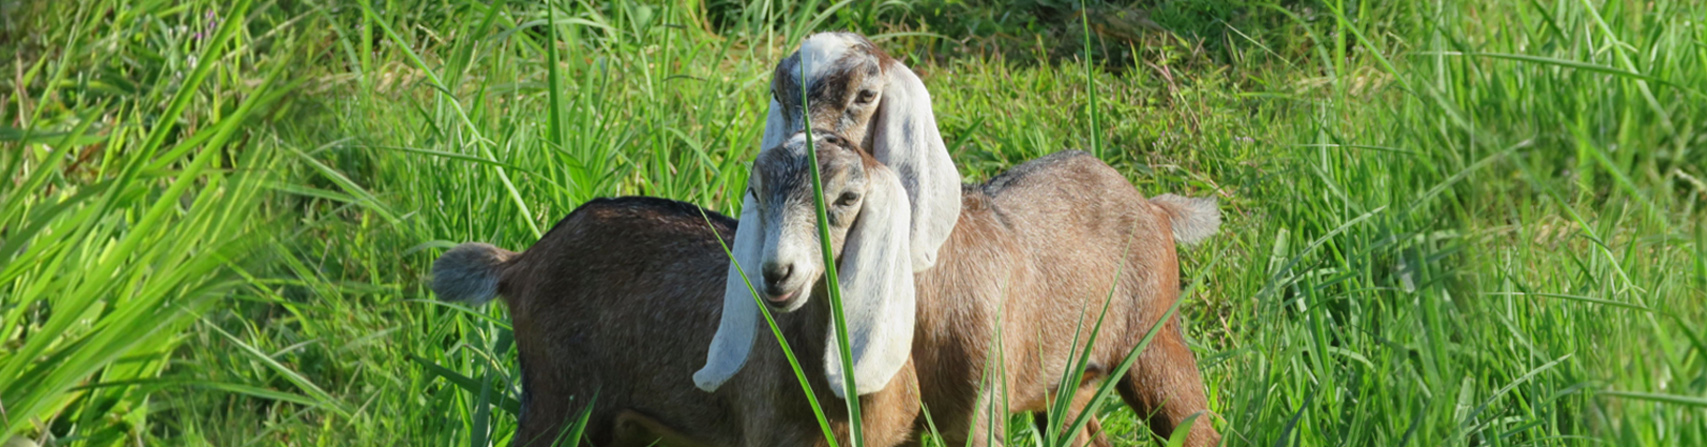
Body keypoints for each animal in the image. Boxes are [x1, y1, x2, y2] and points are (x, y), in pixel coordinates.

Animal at [433, 131, 1222, 443]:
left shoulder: (971, 414)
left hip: (1152, 352)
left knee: (1194, 426)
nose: (774, 273)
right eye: (755, 192)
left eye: (844, 199)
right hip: (569, 407)